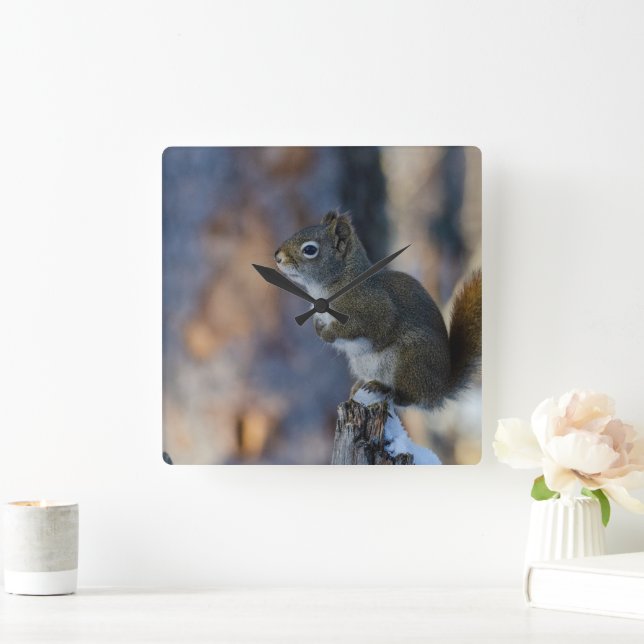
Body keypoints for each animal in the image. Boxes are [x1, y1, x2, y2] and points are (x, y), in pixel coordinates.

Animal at [274, 211, 482, 410]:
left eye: (309, 250)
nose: (277, 256)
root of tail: (441, 389)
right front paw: (318, 328)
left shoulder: (375, 310)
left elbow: (361, 327)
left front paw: (328, 334)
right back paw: (363, 386)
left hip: (411, 359)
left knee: (411, 398)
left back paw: (387, 391)